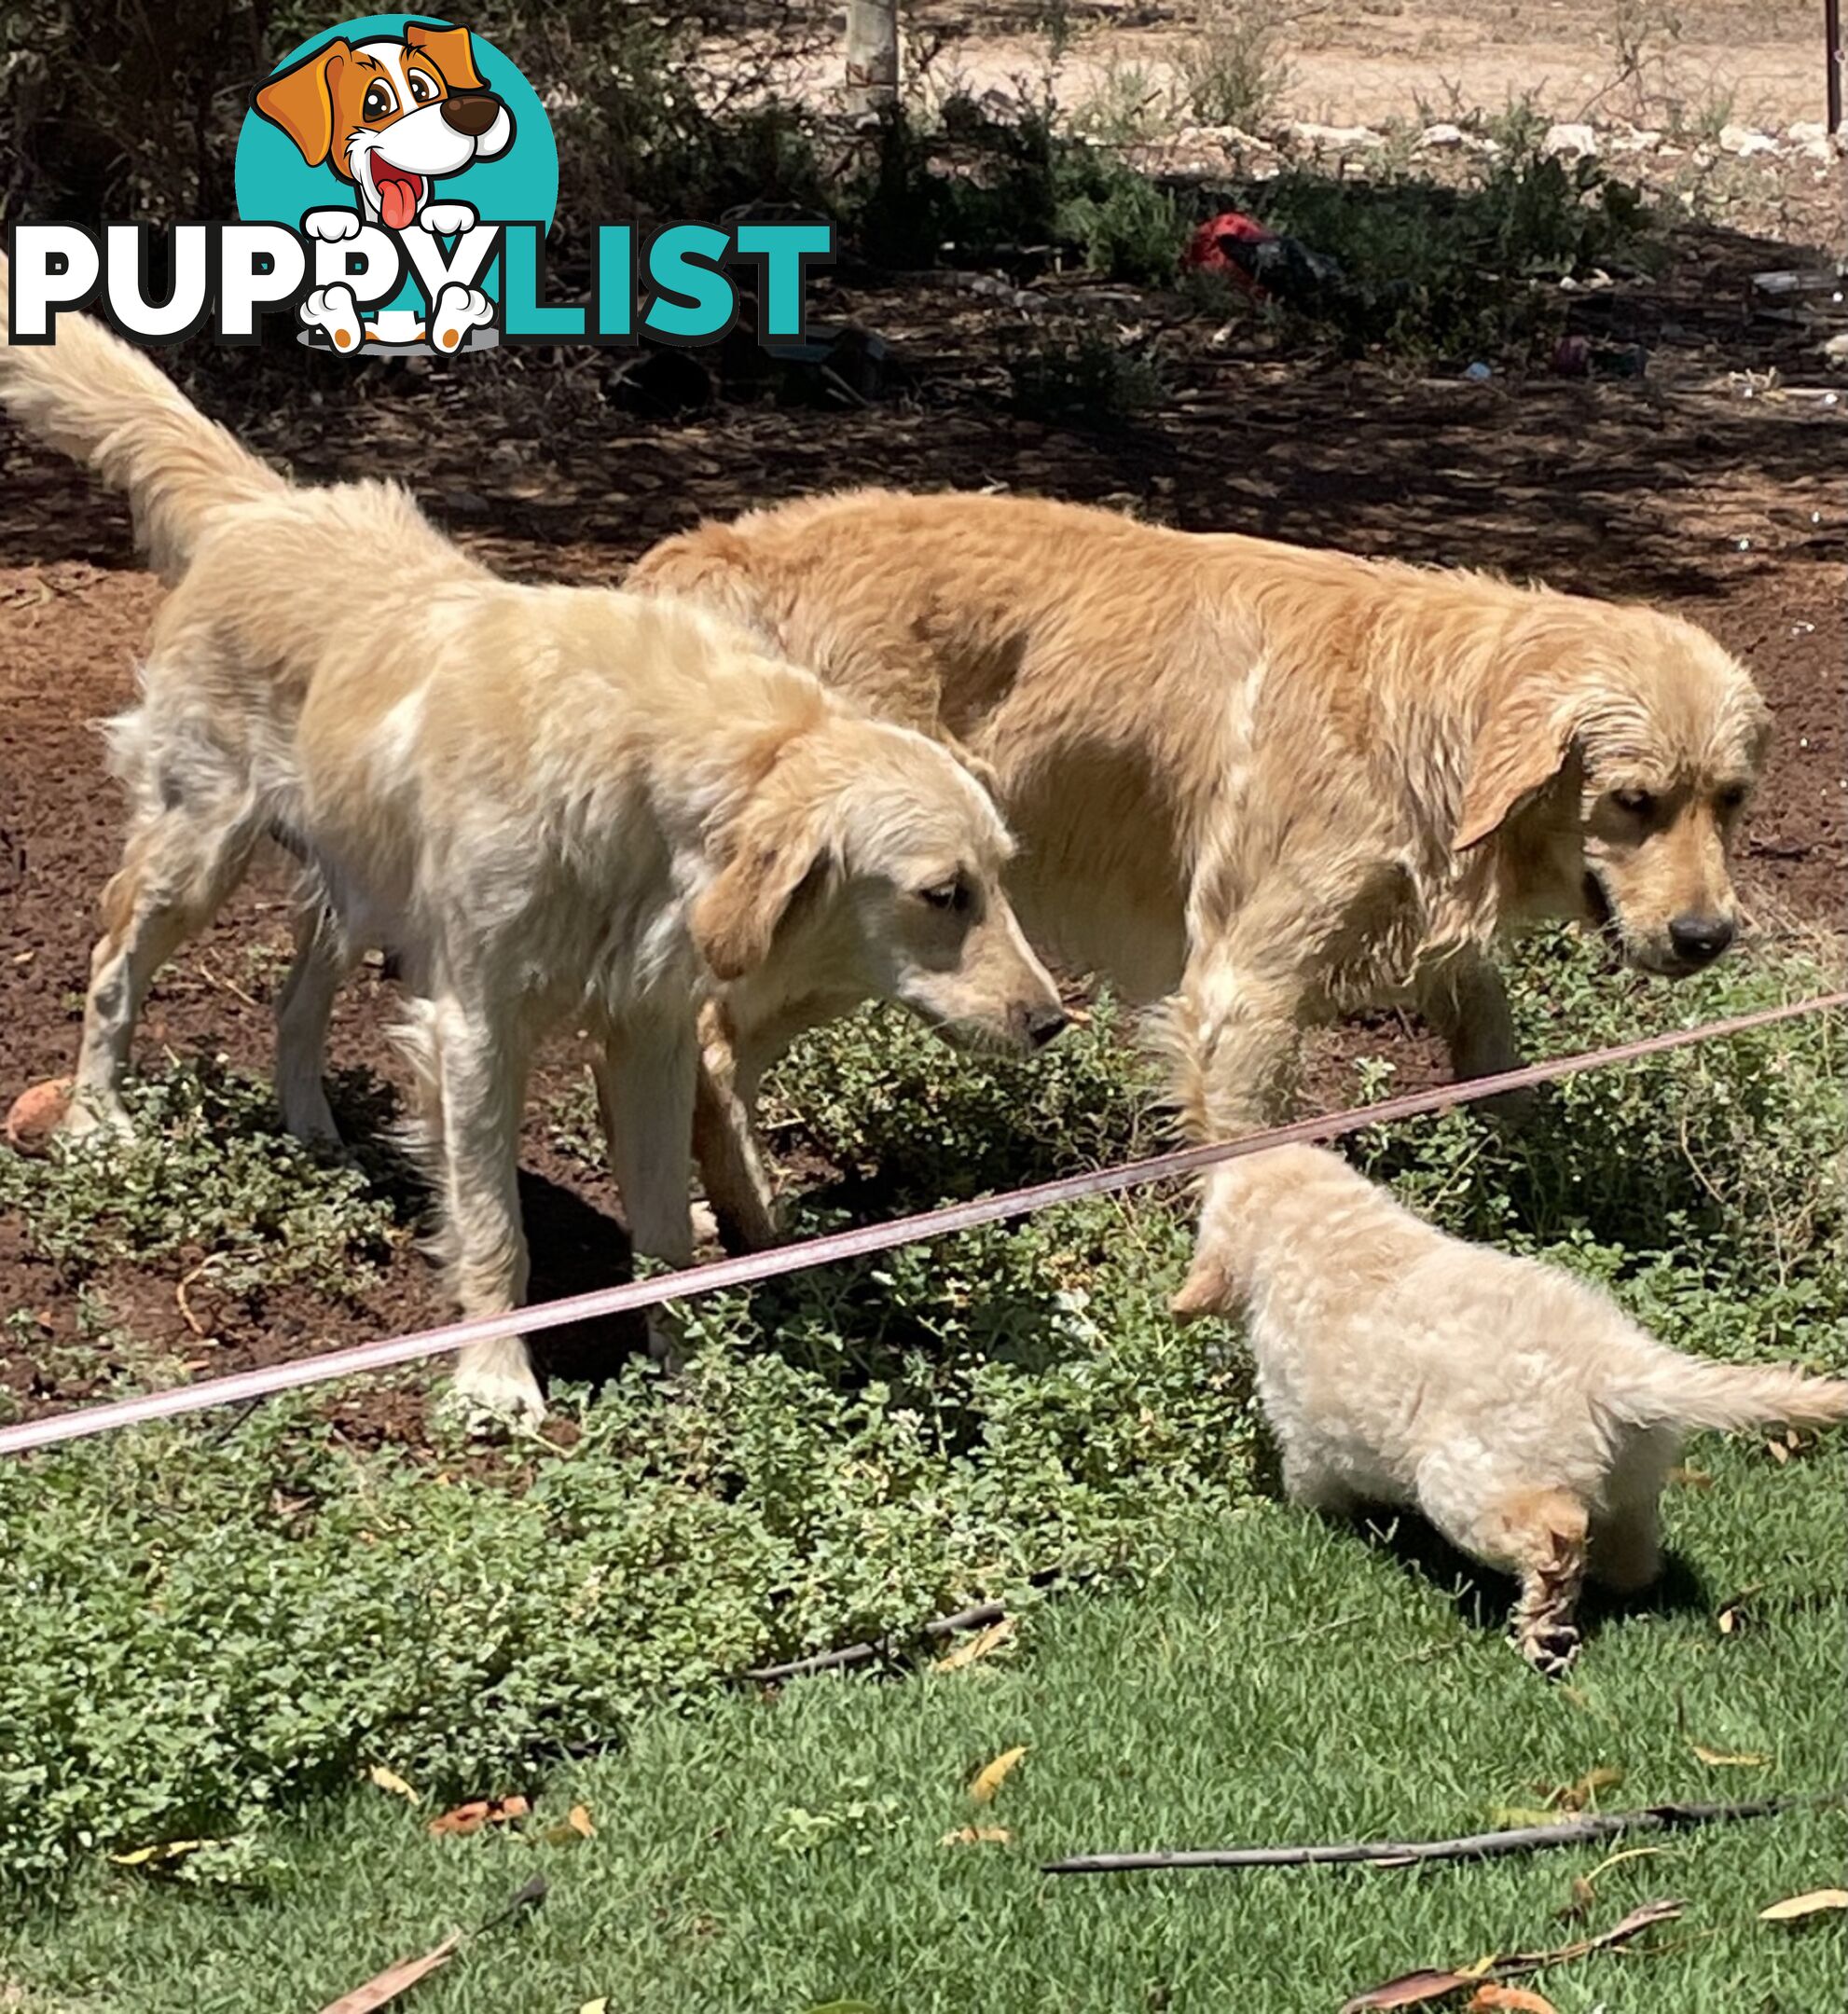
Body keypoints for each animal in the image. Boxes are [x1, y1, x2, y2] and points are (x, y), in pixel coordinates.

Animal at [0, 271, 1062, 1433]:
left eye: (1001, 878)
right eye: (942, 893)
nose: (1053, 1023)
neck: (647, 777)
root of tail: (264, 507)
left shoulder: (650, 1034)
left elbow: (664, 1232)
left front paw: (685, 1375)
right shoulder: (476, 1027)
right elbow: (494, 1226)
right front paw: (494, 1379)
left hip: (355, 889)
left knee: (293, 1001)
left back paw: (312, 1131)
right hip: (197, 850)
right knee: (112, 968)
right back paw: (98, 1119)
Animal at [636, 487, 1779, 1240]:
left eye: (1728, 798)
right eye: (1633, 802)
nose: (1707, 938)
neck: (1421, 714)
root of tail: (710, 555)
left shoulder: (1423, 936)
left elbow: (1496, 1055)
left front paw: (1543, 1169)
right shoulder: (1244, 988)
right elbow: (1248, 1151)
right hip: (867, 928)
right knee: (709, 1045)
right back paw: (754, 1228)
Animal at [1175, 1143, 1843, 1676]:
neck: (1327, 1227)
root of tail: (1618, 1364)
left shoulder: (1306, 1435)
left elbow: (1312, 1486)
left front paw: (1311, 1523)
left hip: (1470, 1481)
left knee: (1556, 1531)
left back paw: (1542, 1630)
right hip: (1633, 1478)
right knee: (1630, 1550)